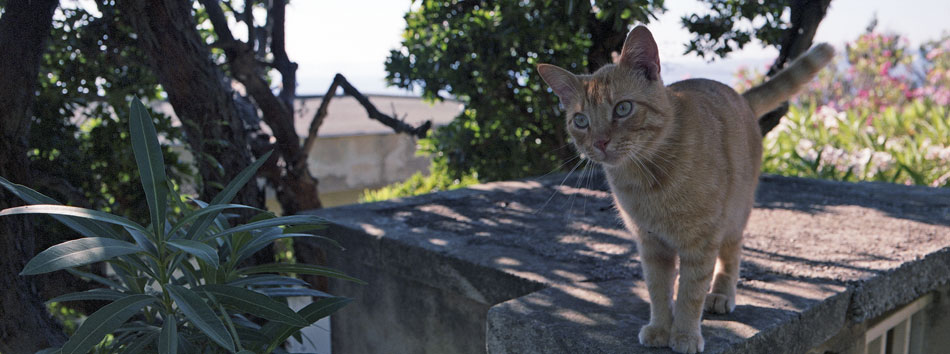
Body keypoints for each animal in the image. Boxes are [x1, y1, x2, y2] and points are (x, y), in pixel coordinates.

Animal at [540, 26, 836, 352]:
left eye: (623, 108)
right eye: (581, 121)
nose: (600, 142)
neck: (646, 180)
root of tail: (740, 96)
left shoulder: (700, 243)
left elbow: (690, 294)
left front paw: (683, 334)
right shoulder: (651, 245)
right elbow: (658, 290)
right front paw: (660, 328)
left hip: (735, 216)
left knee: (731, 254)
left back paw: (721, 294)